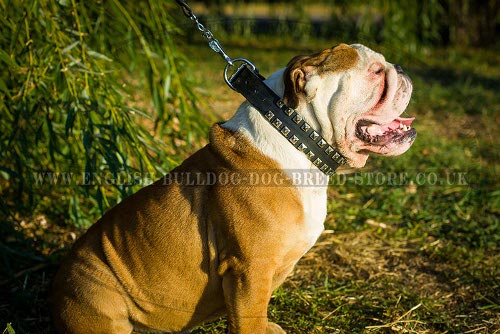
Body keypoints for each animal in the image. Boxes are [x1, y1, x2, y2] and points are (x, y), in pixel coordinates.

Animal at [50, 43, 416, 332]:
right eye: (376, 72)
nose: (401, 68)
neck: (296, 134)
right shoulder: (249, 270)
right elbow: (249, 320)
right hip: (98, 295)